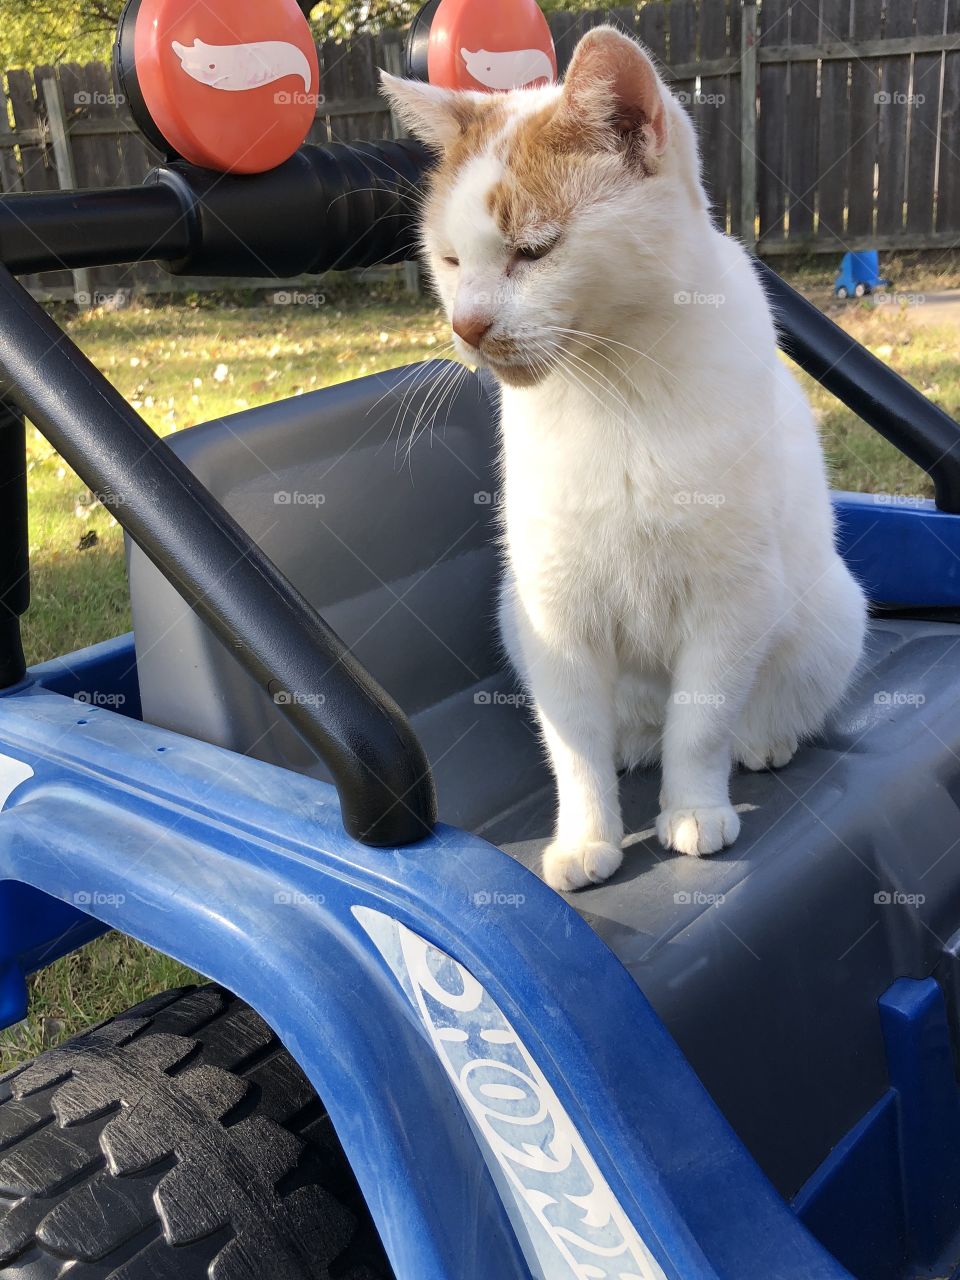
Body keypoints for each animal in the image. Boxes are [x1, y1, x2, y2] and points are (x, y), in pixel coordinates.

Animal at [384, 27, 870, 890]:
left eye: (534, 250)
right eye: (448, 261)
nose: (467, 326)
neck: (613, 390)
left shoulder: (731, 601)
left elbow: (700, 726)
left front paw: (694, 810)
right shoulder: (554, 611)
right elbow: (574, 747)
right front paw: (586, 838)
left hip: (833, 612)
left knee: (750, 714)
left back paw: (762, 741)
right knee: (617, 739)